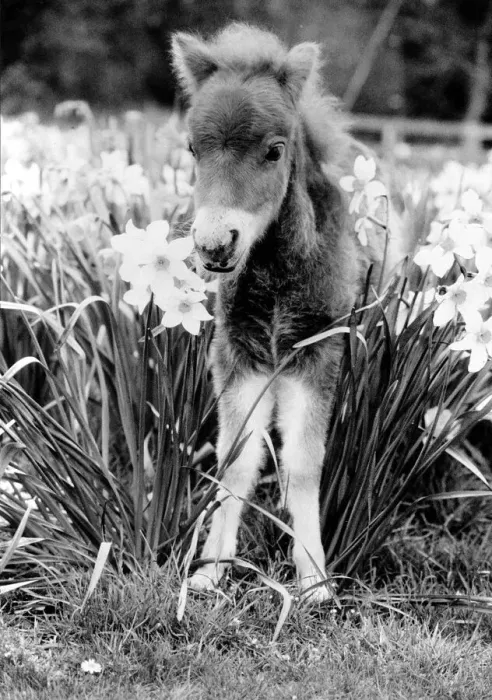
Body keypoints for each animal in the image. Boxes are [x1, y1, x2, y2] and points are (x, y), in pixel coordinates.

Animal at [171, 23, 402, 600]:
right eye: (193, 148)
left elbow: (302, 466)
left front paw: (315, 581)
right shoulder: (239, 359)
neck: (278, 278)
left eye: (275, 151)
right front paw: (210, 570)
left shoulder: (319, 358)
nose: (214, 245)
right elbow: (235, 462)